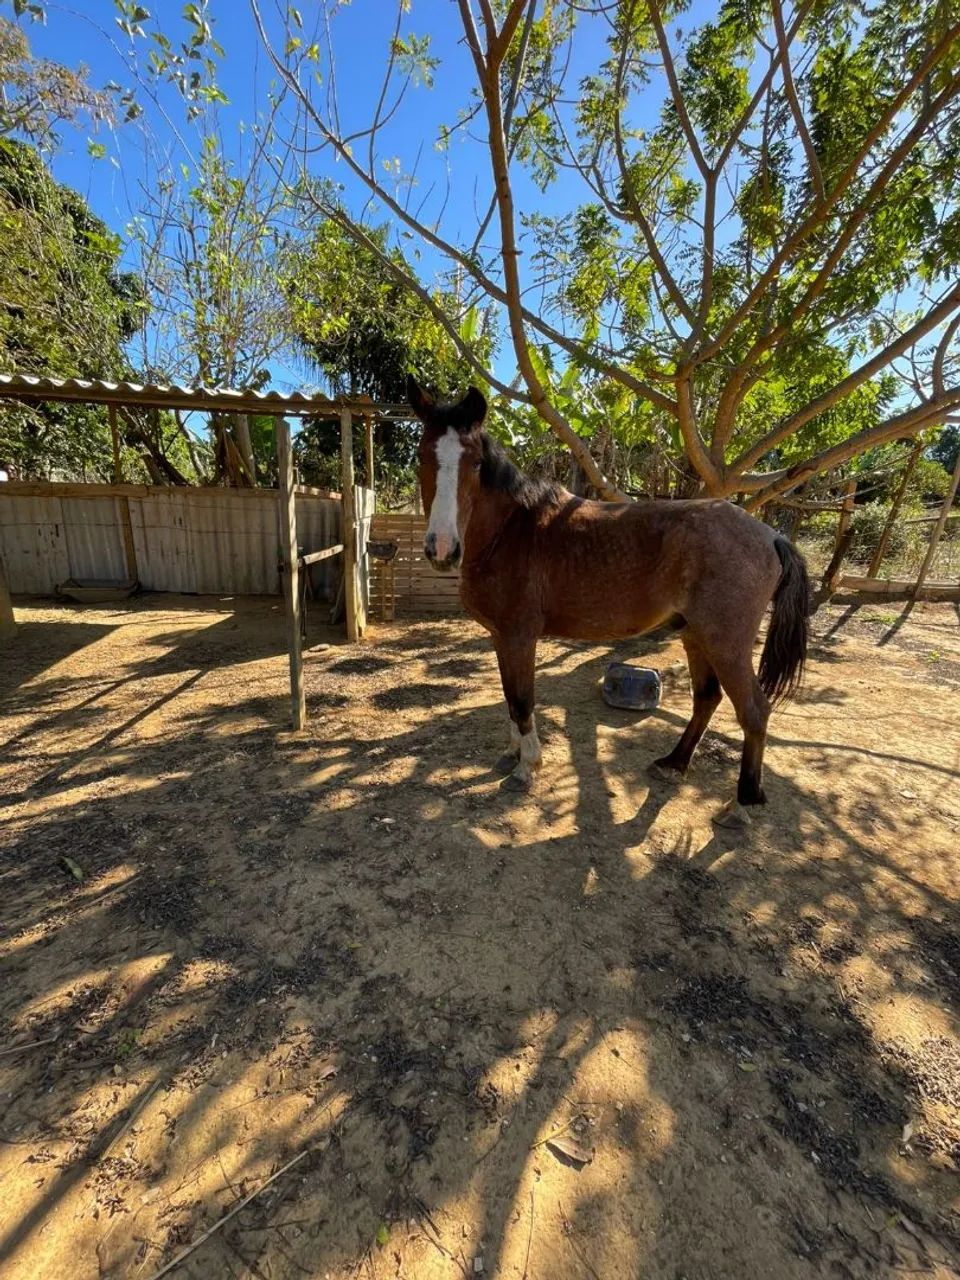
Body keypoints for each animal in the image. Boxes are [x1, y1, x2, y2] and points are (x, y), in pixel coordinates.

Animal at [407, 376, 810, 827]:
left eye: (476, 463)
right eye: (422, 456)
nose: (442, 549)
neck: (511, 531)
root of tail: (771, 535)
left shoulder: (518, 637)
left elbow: (523, 700)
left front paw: (527, 769)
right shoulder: (500, 637)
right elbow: (511, 699)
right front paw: (512, 755)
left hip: (726, 644)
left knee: (754, 711)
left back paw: (741, 803)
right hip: (696, 636)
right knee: (707, 699)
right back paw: (673, 763)